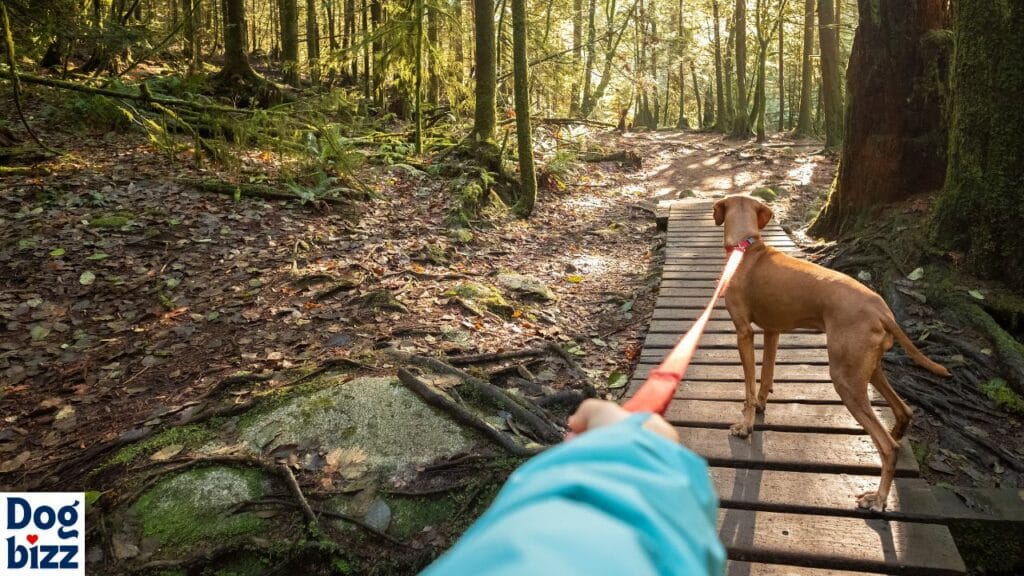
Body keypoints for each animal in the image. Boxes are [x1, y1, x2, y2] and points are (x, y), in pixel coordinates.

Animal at [712, 194, 950, 508]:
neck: (748, 247)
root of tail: (882, 311)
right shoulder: (773, 331)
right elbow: (766, 376)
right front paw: (762, 405)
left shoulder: (743, 333)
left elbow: (750, 386)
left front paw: (745, 425)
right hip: (868, 369)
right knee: (904, 410)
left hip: (844, 379)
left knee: (888, 447)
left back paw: (878, 497)